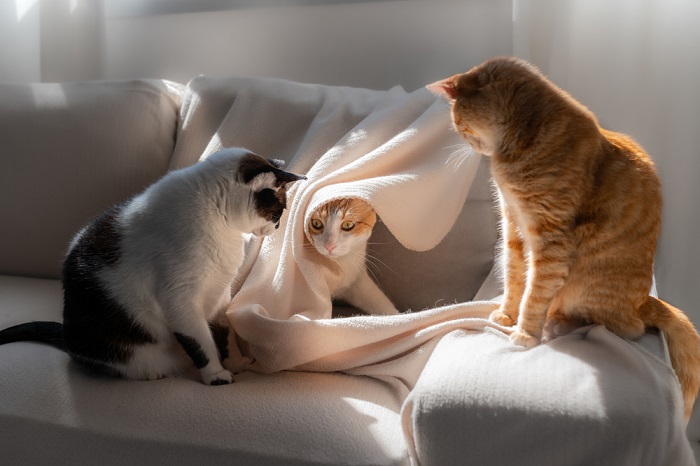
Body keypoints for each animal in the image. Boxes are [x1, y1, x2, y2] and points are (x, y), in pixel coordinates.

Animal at [0, 147, 306, 384]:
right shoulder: (181, 301)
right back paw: (151, 373)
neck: (222, 225)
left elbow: (225, 333)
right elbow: (202, 342)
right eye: (278, 211)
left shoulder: (220, 295)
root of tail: (67, 332)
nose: (276, 228)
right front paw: (217, 375)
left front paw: (236, 363)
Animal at [426, 57, 700, 418]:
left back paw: (560, 323)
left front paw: (525, 333)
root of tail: (643, 303)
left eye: (458, 122)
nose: (466, 141)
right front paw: (508, 314)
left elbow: (535, 292)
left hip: (587, 285)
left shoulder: (551, 241)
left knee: (620, 327)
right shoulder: (513, 225)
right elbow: (515, 277)